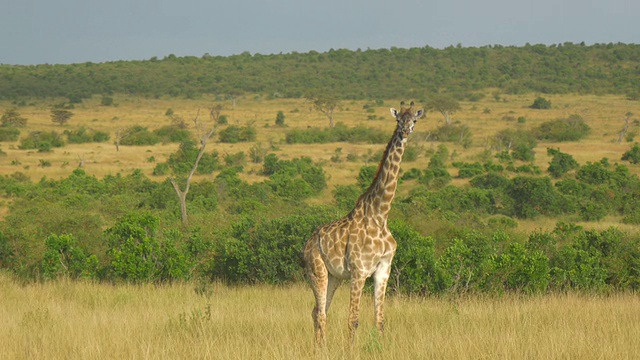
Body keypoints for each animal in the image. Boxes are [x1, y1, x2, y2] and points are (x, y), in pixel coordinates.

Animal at [302, 100, 422, 344]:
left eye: (414, 119)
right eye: (398, 119)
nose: (405, 132)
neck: (380, 216)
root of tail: (306, 245)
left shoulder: (383, 269)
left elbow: (380, 320)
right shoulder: (359, 271)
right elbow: (353, 320)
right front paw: (351, 349)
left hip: (334, 277)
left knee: (318, 310)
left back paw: (318, 346)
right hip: (317, 271)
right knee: (320, 313)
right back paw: (323, 347)